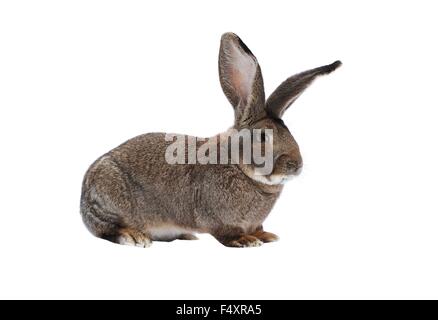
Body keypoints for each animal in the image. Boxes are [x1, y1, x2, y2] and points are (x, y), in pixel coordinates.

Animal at [79, 31, 342, 248]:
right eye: (263, 136)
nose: (296, 165)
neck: (238, 165)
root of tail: (84, 195)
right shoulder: (218, 218)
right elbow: (226, 234)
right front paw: (246, 240)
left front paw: (265, 235)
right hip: (110, 200)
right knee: (106, 229)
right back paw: (133, 236)